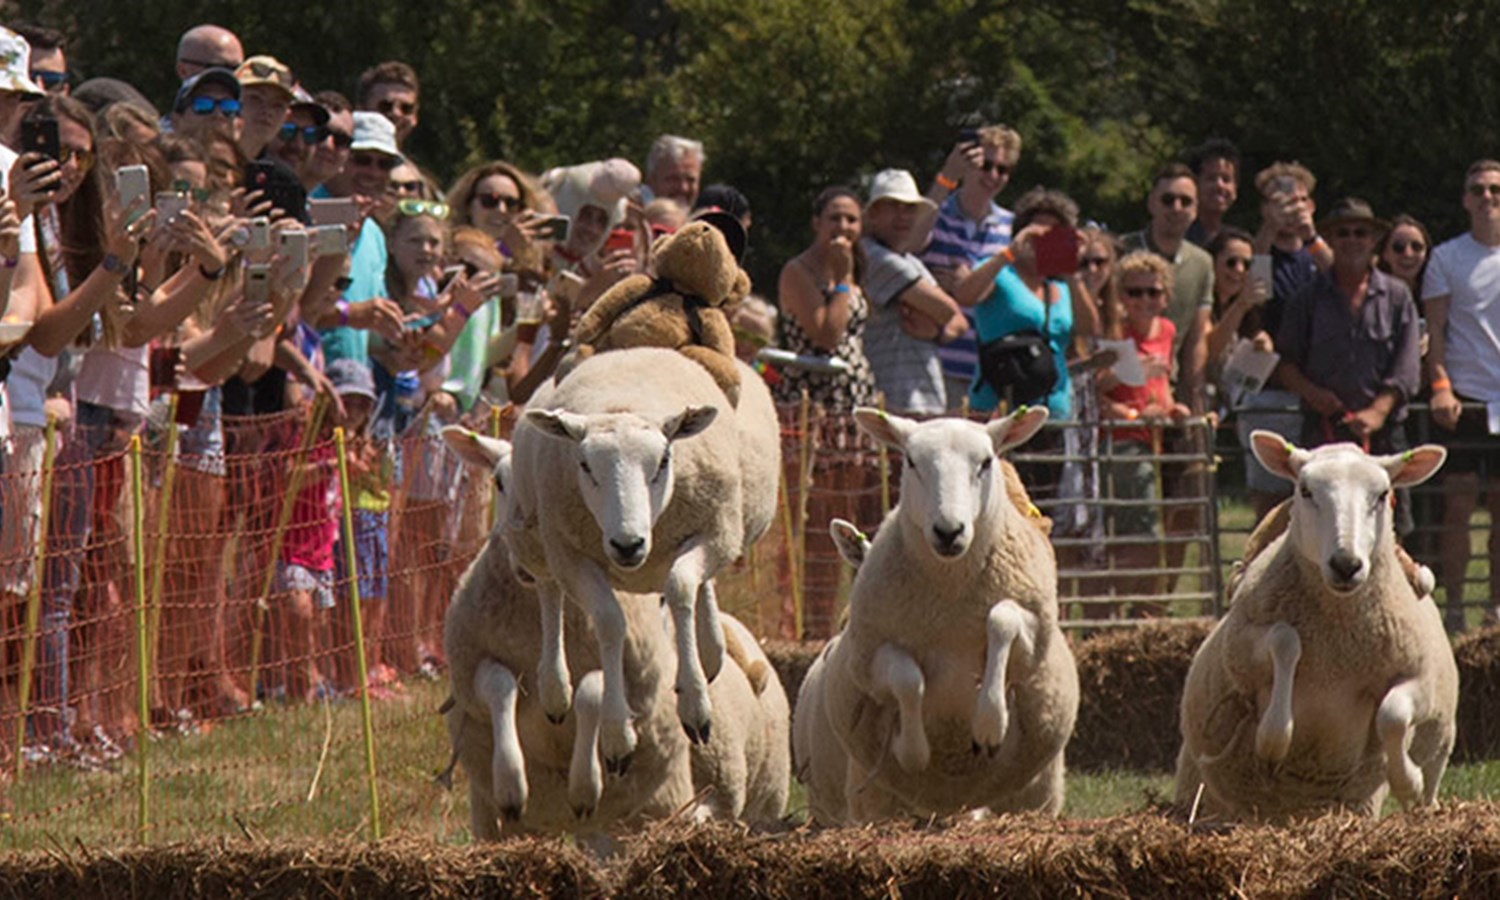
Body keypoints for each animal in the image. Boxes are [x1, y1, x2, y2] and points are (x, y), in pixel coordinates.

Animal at [508, 347, 779, 769]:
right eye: (584, 464)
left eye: (665, 459)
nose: (627, 545)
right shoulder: (569, 554)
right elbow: (609, 622)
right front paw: (617, 733)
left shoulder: (716, 533)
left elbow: (682, 588)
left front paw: (695, 702)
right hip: (538, 540)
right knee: (549, 593)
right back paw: (555, 689)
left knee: (701, 588)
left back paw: (709, 650)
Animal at [794, 406, 1080, 823]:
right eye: (911, 462)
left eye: (986, 462)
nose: (948, 531)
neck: (950, 591)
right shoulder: (873, 653)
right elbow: (907, 678)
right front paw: (912, 750)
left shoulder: (1032, 633)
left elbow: (1002, 620)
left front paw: (990, 722)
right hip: (859, 798)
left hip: (1035, 794)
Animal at [1174, 432, 1456, 823]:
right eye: (1305, 490)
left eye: (1382, 494)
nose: (1346, 564)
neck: (1336, 647)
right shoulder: (1242, 647)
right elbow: (1285, 640)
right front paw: (1273, 738)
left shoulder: (1419, 677)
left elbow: (1393, 716)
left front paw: (1408, 780)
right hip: (1200, 778)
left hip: (1435, 748)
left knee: (1427, 781)